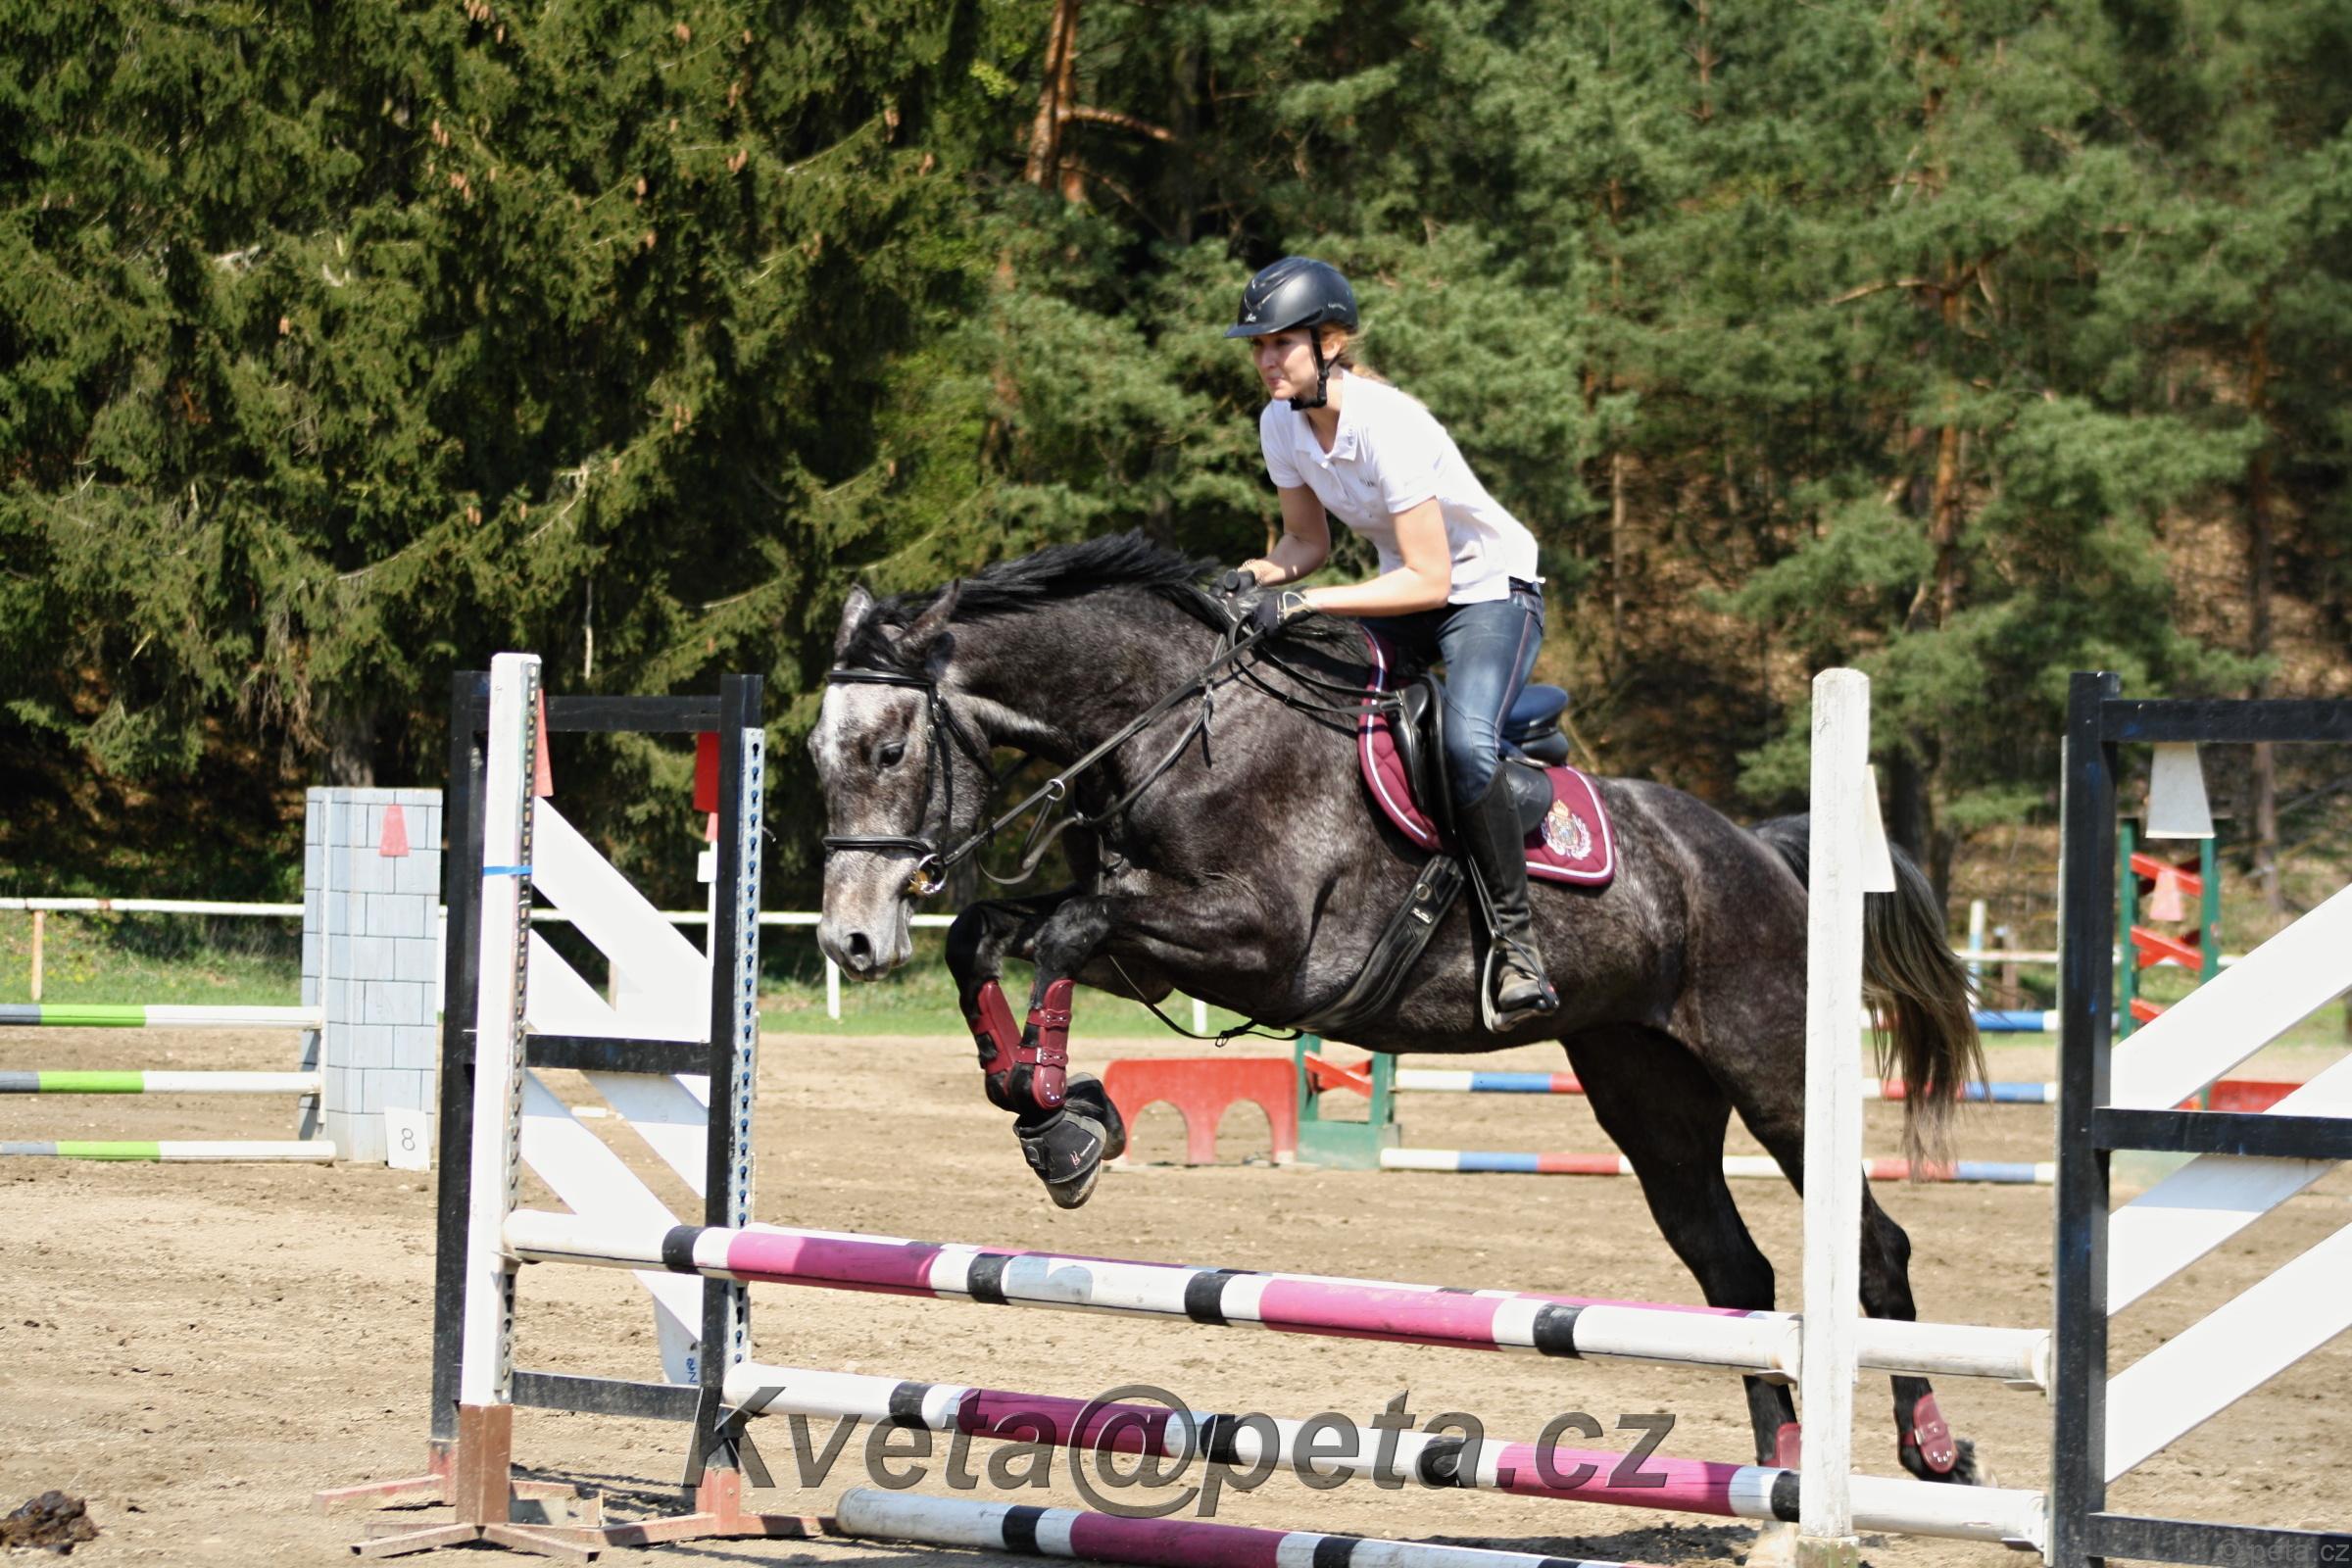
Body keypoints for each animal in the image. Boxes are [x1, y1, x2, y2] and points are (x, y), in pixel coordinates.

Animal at [809, 531, 1990, 1502]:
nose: (850, 941)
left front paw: (1066, 1123)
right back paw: (1778, 1467)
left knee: (1872, 1248)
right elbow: (986, 934)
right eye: (819, 756)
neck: (1174, 729)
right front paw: (1048, 1101)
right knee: (1732, 1268)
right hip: (1646, 1088)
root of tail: (1759, 850)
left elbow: (1056, 933)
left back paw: (1931, 1450)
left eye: (888, 750)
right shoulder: (1143, 935)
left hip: (1774, 1069)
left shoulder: (1257, 947)